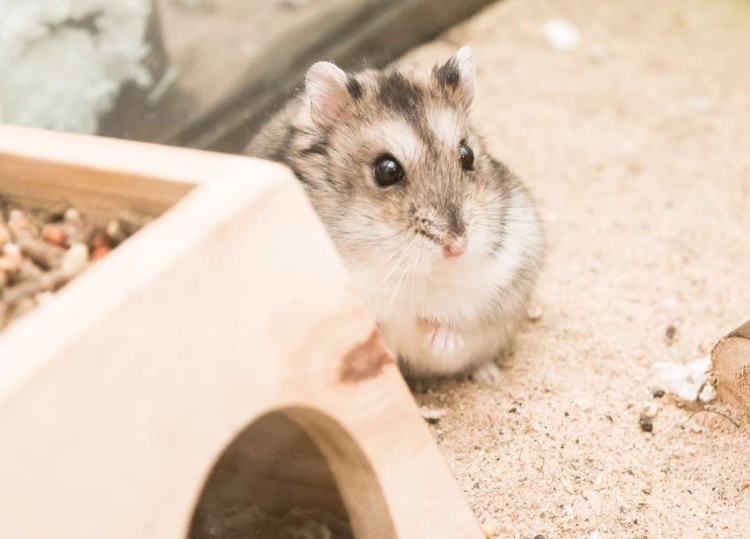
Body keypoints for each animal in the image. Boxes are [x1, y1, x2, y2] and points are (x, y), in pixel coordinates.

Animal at [245, 46, 545, 383]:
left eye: (467, 155)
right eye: (386, 171)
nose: (457, 247)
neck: (412, 273)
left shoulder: (506, 270)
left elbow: (458, 319)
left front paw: (439, 341)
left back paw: (490, 377)